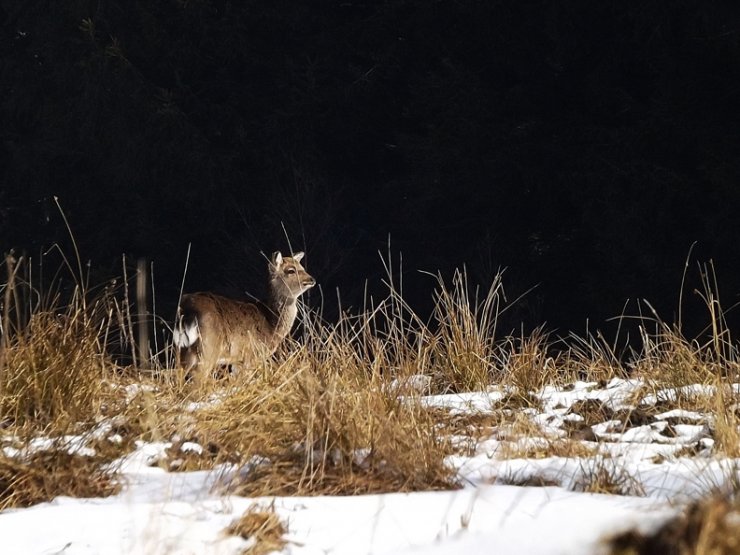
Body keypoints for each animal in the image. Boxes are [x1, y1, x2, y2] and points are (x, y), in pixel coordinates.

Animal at [175, 253, 316, 380]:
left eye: (302, 267)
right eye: (291, 270)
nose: (311, 279)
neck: (271, 325)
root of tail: (188, 309)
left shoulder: (238, 359)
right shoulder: (251, 355)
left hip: (183, 348)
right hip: (207, 347)